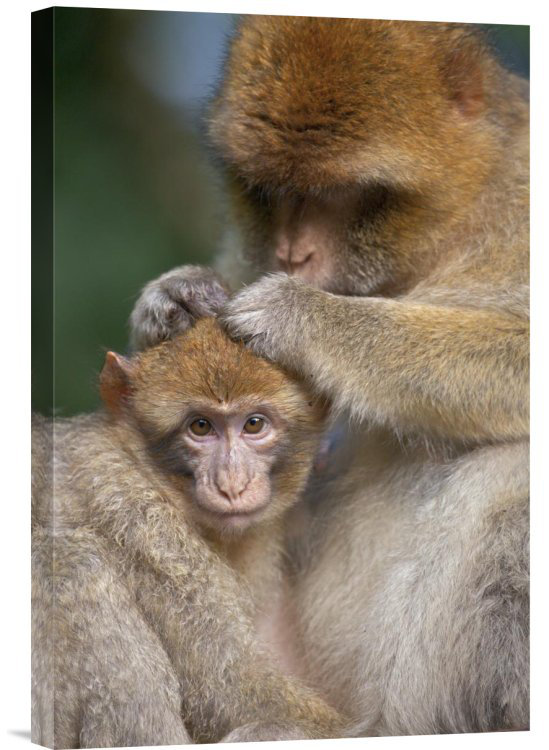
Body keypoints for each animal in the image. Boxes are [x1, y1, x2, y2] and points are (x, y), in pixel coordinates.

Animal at [31, 317, 346, 748]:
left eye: (254, 424)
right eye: (200, 426)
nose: (232, 483)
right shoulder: (142, 525)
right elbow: (236, 694)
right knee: (68, 560)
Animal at [129, 18, 529, 736]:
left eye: (340, 194)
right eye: (270, 191)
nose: (294, 254)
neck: (456, 222)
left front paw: (302, 318)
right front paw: (172, 300)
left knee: (512, 470)